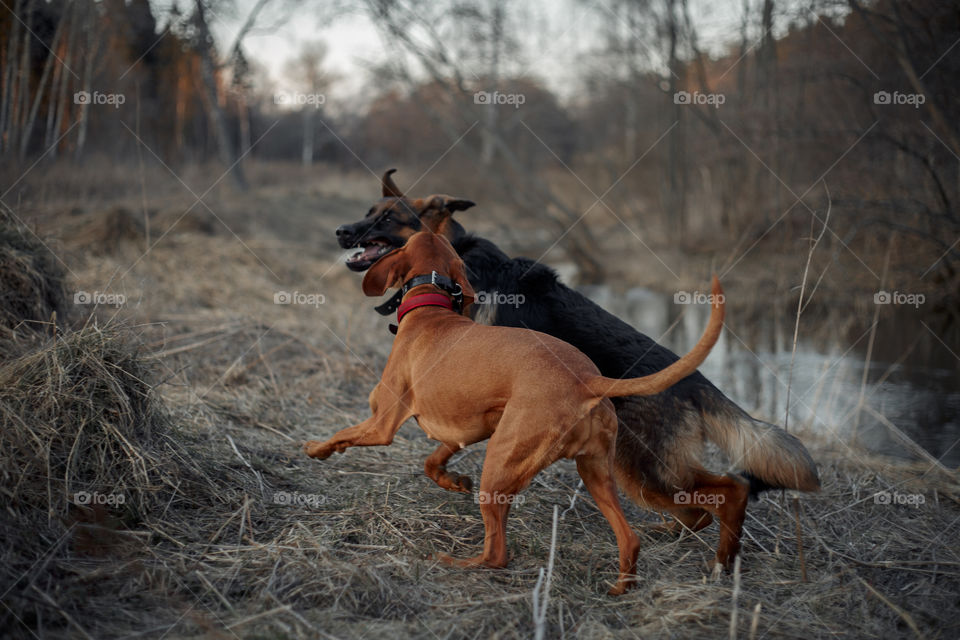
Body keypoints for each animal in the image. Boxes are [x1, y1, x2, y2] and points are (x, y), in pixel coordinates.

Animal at [304, 231, 724, 596]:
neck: (430, 306)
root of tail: (588, 379)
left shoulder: (382, 424)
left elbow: (342, 435)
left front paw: (315, 449)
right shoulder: (476, 427)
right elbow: (433, 460)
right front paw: (453, 480)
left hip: (503, 466)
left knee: (497, 554)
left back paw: (455, 562)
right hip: (595, 473)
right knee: (630, 538)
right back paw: (621, 587)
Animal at [336, 170, 816, 568]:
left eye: (388, 218)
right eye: (367, 212)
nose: (341, 231)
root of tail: (695, 380)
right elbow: (441, 452)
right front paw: (450, 478)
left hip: (644, 467)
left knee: (730, 490)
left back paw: (721, 559)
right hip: (646, 470)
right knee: (699, 509)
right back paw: (677, 539)